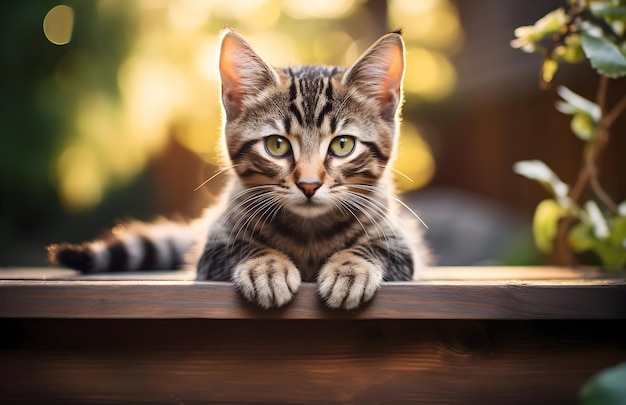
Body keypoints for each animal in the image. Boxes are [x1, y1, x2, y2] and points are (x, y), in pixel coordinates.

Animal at [47, 29, 428, 310]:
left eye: (342, 145)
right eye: (277, 145)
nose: (308, 185)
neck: (309, 234)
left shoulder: (401, 245)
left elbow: (374, 248)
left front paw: (351, 269)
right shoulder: (213, 247)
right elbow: (243, 247)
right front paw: (267, 266)